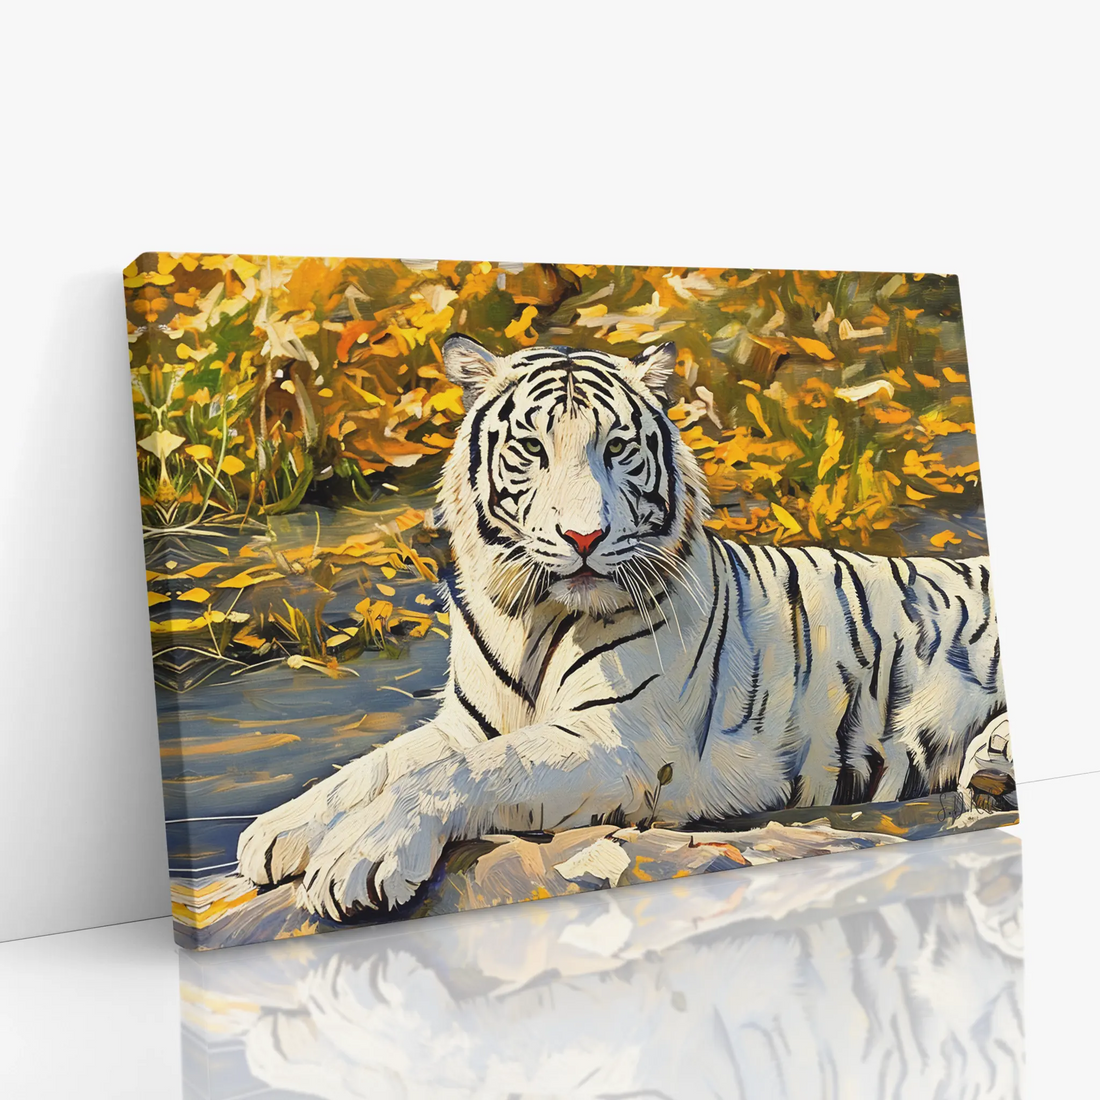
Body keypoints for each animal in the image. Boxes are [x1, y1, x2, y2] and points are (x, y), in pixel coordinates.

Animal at [237, 334, 1011, 919]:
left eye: (616, 450)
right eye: (533, 450)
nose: (584, 536)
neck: (532, 615)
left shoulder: (621, 742)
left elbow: (465, 772)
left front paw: (356, 859)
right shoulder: (466, 722)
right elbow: (374, 766)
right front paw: (277, 831)